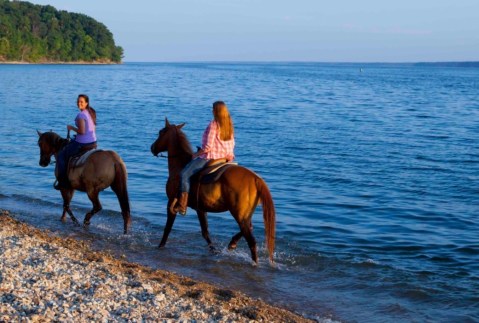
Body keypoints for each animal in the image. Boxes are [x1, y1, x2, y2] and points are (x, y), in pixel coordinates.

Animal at [150, 119, 278, 266]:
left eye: (161, 132)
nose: (152, 147)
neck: (180, 166)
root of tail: (255, 178)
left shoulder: (171, 202)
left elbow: (168, 228)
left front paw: (160, 246)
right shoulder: (200, 209)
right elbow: (205, 232)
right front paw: (214, 250)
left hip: (239, 215)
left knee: (251, 240)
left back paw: (254, 262)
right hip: (244, 214)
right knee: (248, 228)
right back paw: (232, 243)